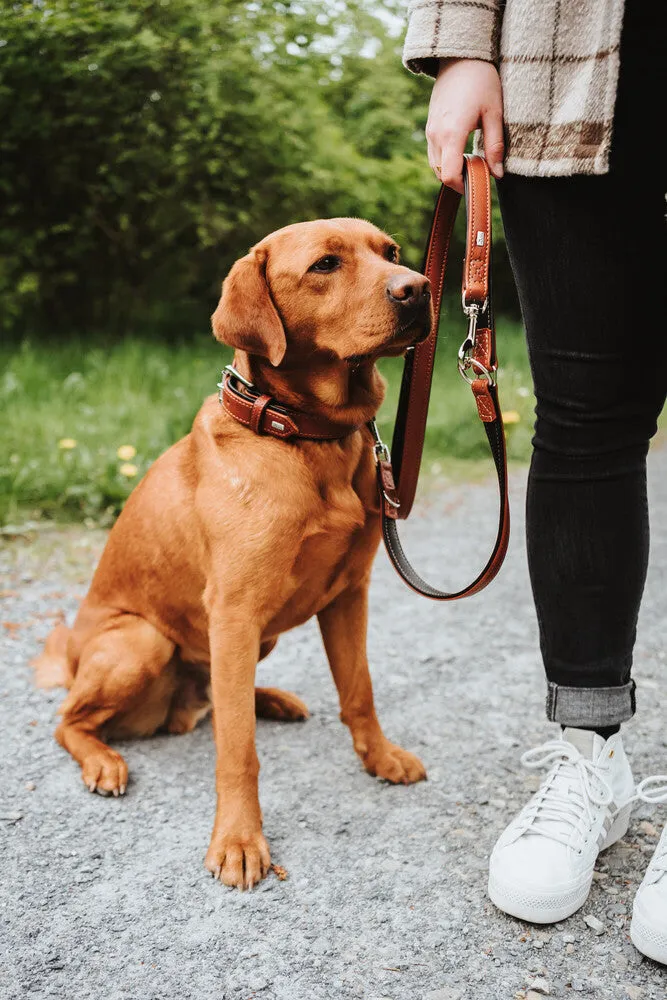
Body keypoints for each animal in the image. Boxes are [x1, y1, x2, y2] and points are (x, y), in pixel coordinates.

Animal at [32, 215, 434, 888]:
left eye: (392, 252)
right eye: (326, 264)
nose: (420, 288)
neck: (305, 438)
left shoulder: (349, 594)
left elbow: (360, 692)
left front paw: (380, 758)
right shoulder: (235, 610)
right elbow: (238, 750)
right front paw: (240, 841)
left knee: (221, 699)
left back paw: (270, 699)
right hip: (143, 641)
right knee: (72, 720)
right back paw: (104, 761)